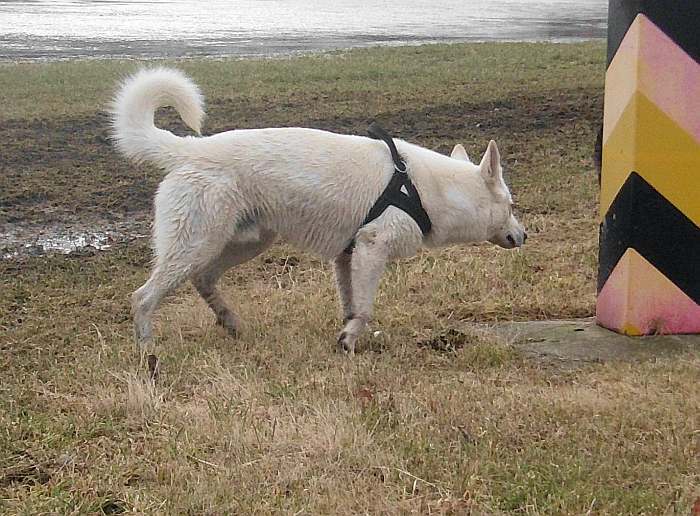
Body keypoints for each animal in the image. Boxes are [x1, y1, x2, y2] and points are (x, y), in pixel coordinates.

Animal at [110, 66, 524, 352]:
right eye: (510, 205)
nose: (524, 235)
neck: (423, 187)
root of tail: (189, 149)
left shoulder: (347, 256)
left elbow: (352, 306)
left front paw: (347, 338)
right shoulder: (372, 249)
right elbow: (365, 309)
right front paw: (350, 340)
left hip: (243, 243)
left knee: (204, 280)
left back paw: (231, 323)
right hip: (196, 245)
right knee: (142, 298)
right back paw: (148, 353)